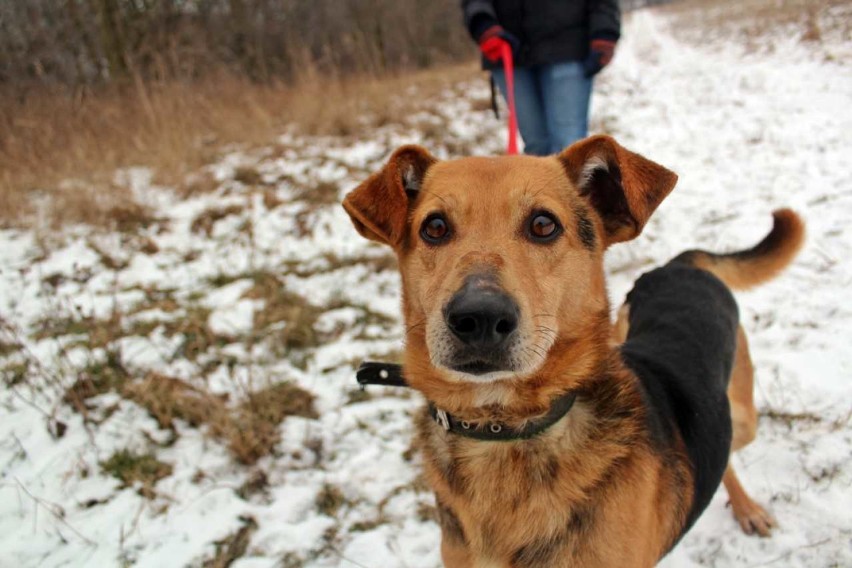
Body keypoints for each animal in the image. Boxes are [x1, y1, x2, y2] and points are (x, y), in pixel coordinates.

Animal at [342, 135, 804, 564]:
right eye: (434, 227)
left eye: (543, 225)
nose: (479, 318)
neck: (503, 427)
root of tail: (679, 265)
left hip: (744, 418)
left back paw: (747, 509)